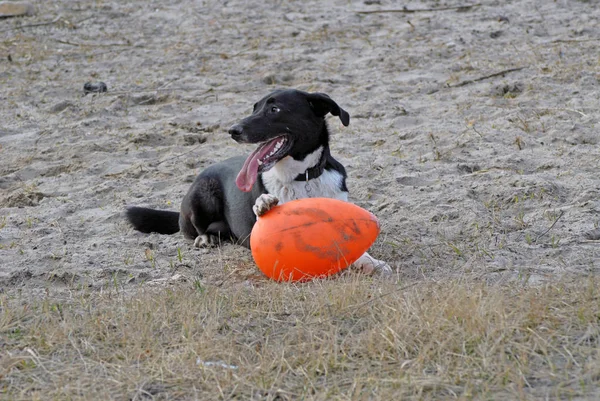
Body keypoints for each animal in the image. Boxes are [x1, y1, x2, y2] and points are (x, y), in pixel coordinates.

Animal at [125, 88, 392, 276]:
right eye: (254, 108)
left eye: (274, 109)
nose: (233, 130)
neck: (300, 177)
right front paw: (263, 204)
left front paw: (372, 262)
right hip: (202, 193)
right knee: (193, 229)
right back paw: (205, 238)